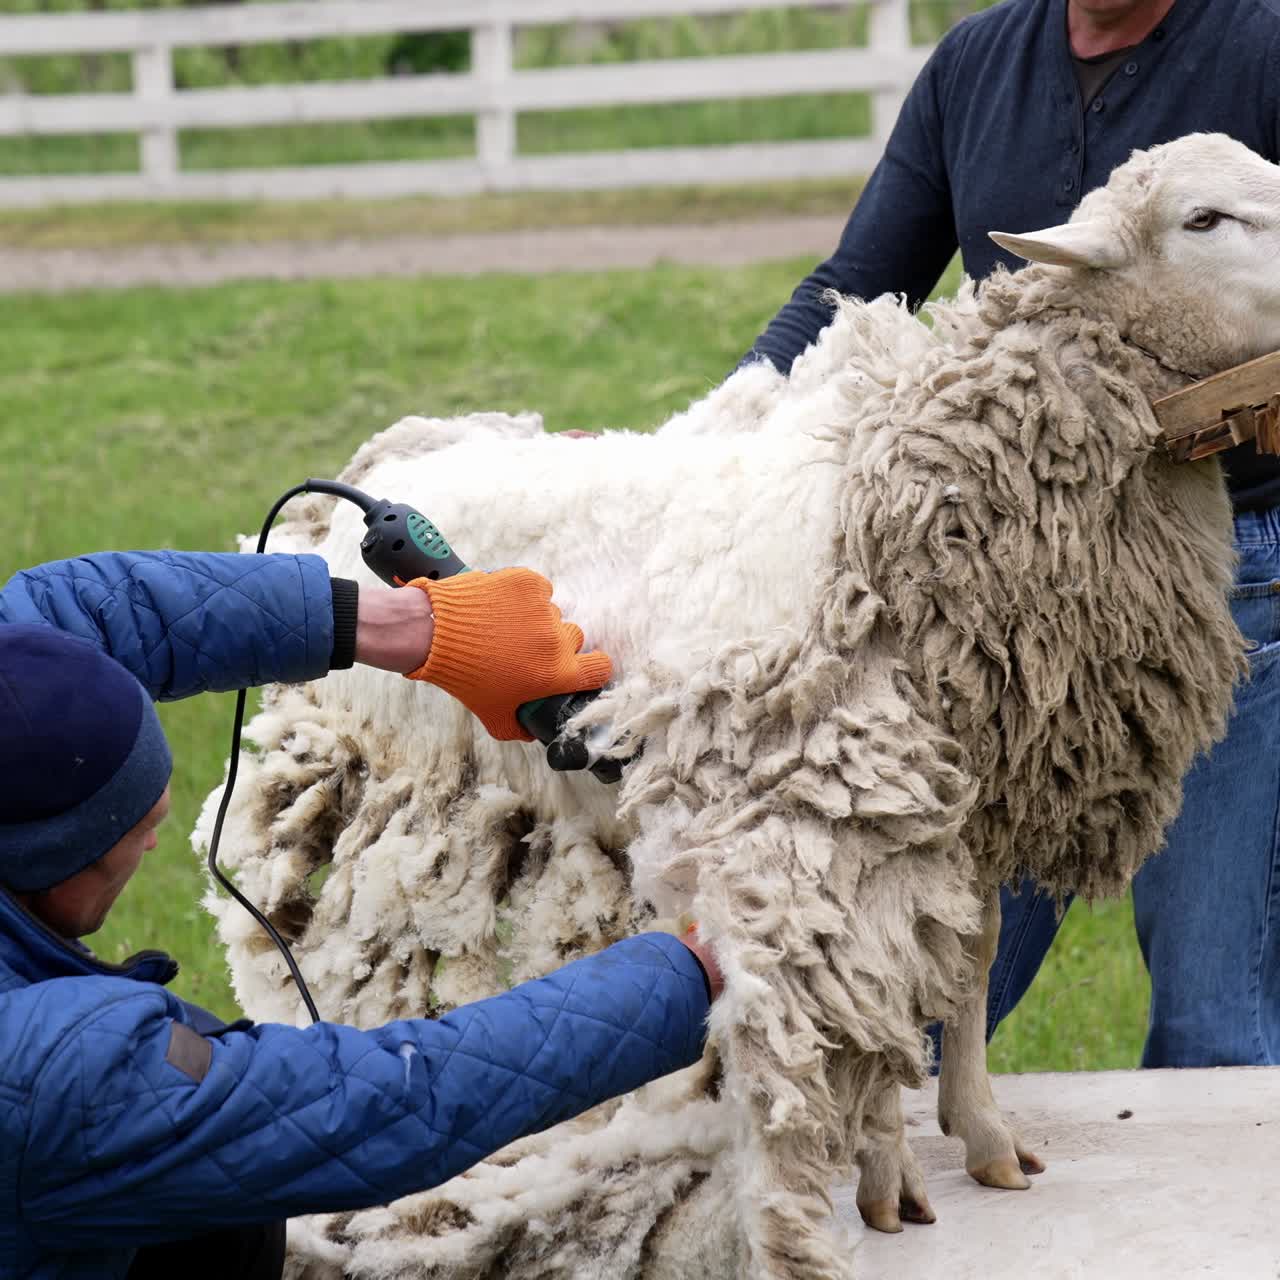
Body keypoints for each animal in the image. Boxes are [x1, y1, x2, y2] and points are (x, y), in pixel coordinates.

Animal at [195, 132, 1275, 1280]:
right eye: (1204, 220)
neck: (896, 505)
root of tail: (362, 482)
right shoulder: (838, 806)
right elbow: (875, 982)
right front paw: (885, 1171)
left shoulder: (968, 798)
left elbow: (963, 959)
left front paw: (979, 1133)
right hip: (381, 797)